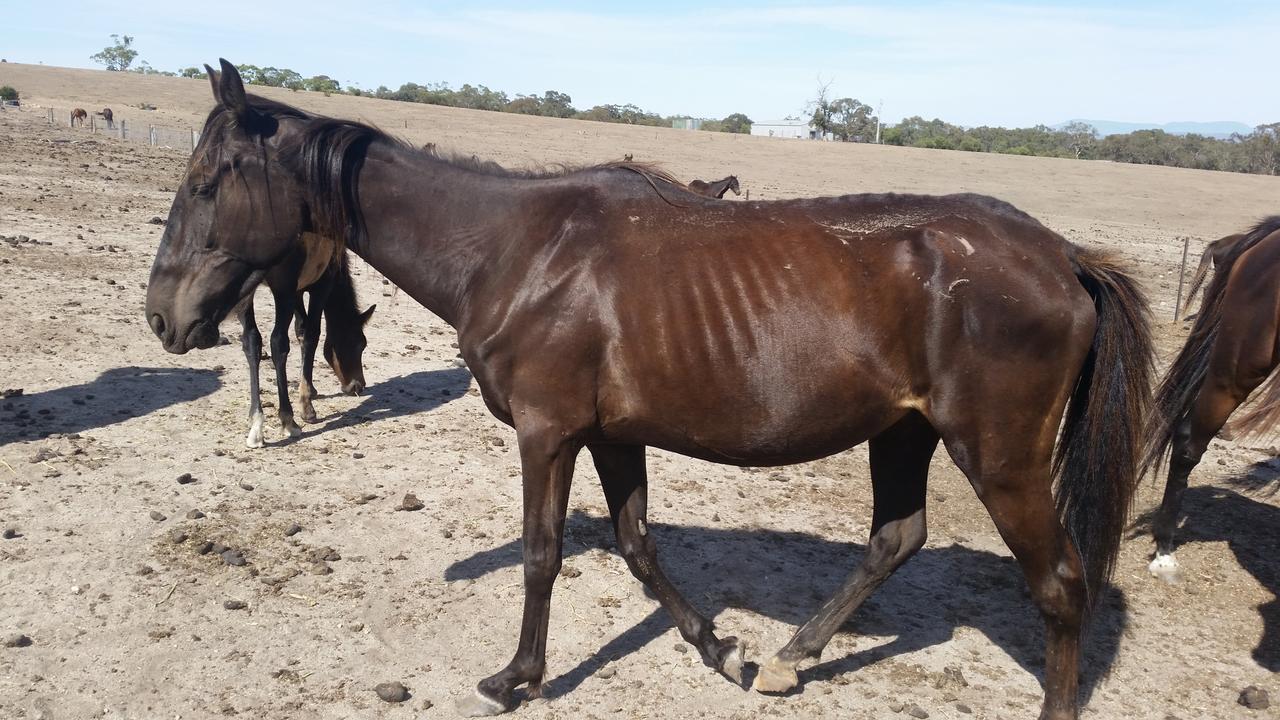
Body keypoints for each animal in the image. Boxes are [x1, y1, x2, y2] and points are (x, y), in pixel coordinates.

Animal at [238, 244, 373, 448]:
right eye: (359, 344)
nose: (358, 386)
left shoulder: (298, 290)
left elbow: (300, 329)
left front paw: (310, 389)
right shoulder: (321, 285)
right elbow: (311, 334)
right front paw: (307, 405)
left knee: (252, 340)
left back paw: (256, 425)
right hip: (283, 289)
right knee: (278, 342)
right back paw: (288, 421)